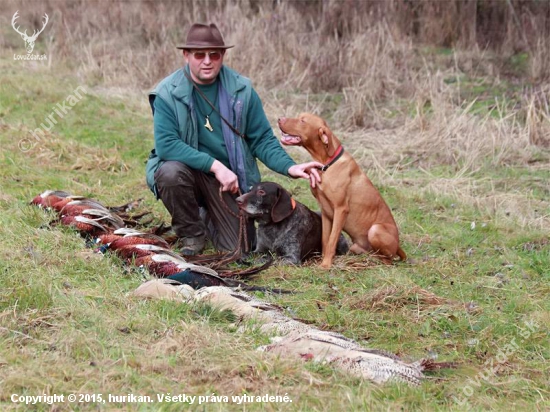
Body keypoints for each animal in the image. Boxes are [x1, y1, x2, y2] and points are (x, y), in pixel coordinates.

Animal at [280, 112, 406, 268]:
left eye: (302, 121)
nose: (279, 119)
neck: (327, 164)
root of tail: (398, 246)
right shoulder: (326, 212)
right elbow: (325, 240)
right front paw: (323, 260)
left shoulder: (341, 209)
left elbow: (332, 240)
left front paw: (326, 265)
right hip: (356, 247)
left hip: (375, 230)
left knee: (388, 260)